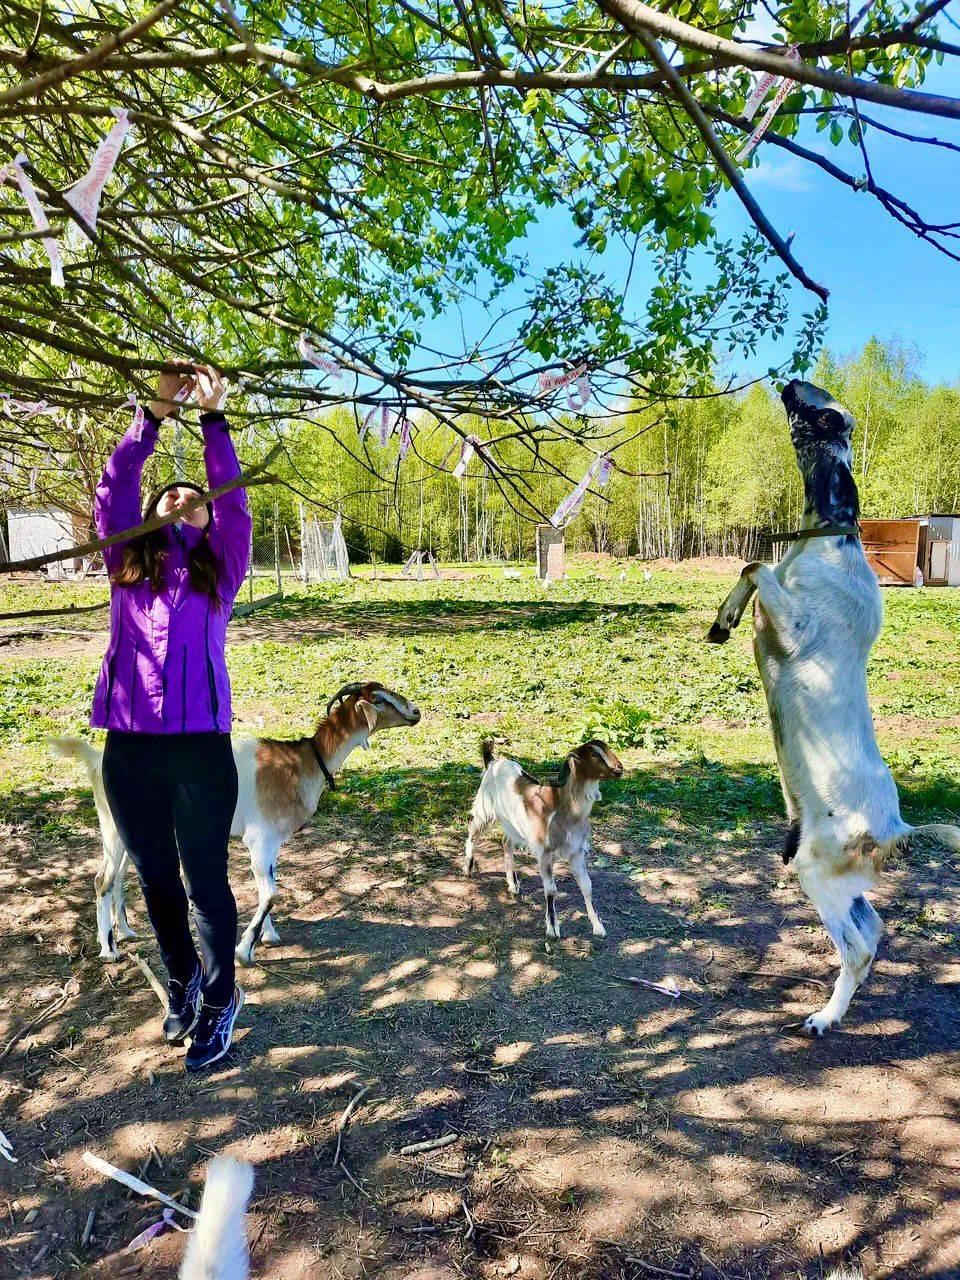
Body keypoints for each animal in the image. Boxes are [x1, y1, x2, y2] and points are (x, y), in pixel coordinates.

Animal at [50, 681, 421, 967]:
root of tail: (96, 759)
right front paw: (244, 950)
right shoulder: (261, 838)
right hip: (113, 827)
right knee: (102, 879)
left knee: (119, 878)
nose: (416, 712)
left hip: (133, 832)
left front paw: (269, 935)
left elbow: (268, 885)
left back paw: (126, 932)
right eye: (378, 699)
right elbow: (270, 892)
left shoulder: (272, 843)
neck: (302, 763)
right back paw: (109, 950)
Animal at [465, 739, 623, 938]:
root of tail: (492, 762)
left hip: (511, 824)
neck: (565, 809)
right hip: (485, 810)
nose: (619, 768)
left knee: (506, 842)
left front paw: (598, 928)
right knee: (473, 833)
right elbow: (551, 891)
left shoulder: (576, 851)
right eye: (595, 754)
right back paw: (468, 869)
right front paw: (552, 929)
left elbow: (587, 885)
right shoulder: (545, 854)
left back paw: (513, 885)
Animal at [707, 379, 960, 1035]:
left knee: (858, 947)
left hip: (816, 871)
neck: (829, 542)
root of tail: (896, 827)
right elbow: (750, 568)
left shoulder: (794, 628)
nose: (788, 383)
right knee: (873, 929)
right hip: (839, 878)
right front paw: (724, 618)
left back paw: (825, 1016)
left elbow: (755, 563)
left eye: (824, 411)